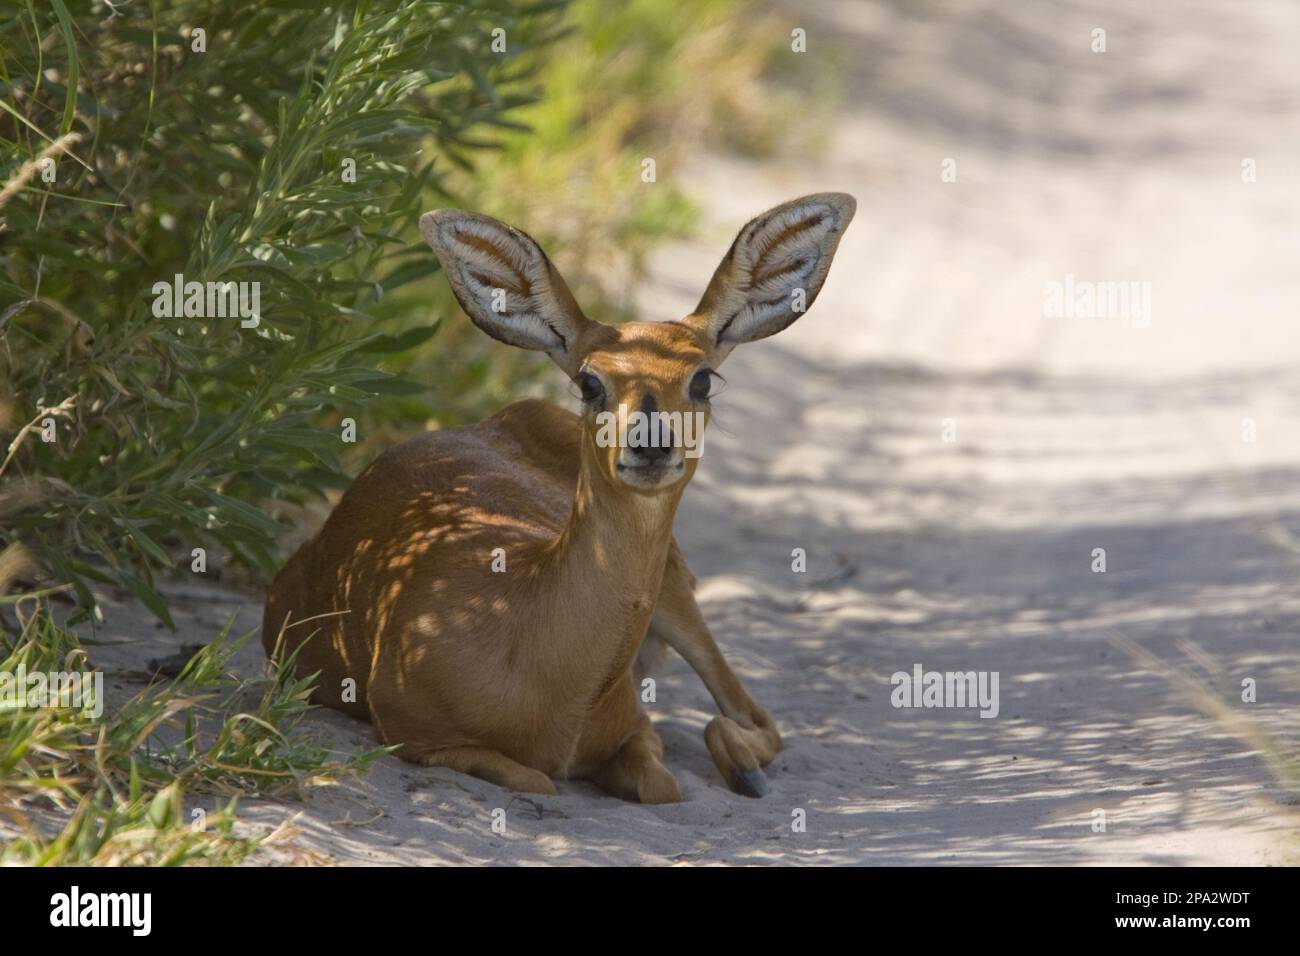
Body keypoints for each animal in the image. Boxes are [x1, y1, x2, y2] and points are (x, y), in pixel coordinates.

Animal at [262, 192, 852, 801]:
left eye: (703, 379)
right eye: (590, 382)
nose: (650, 442)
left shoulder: (633, 726)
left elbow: (662, 781)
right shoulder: (412, 730)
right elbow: (537, 779)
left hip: (676, 591)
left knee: (750, 716)